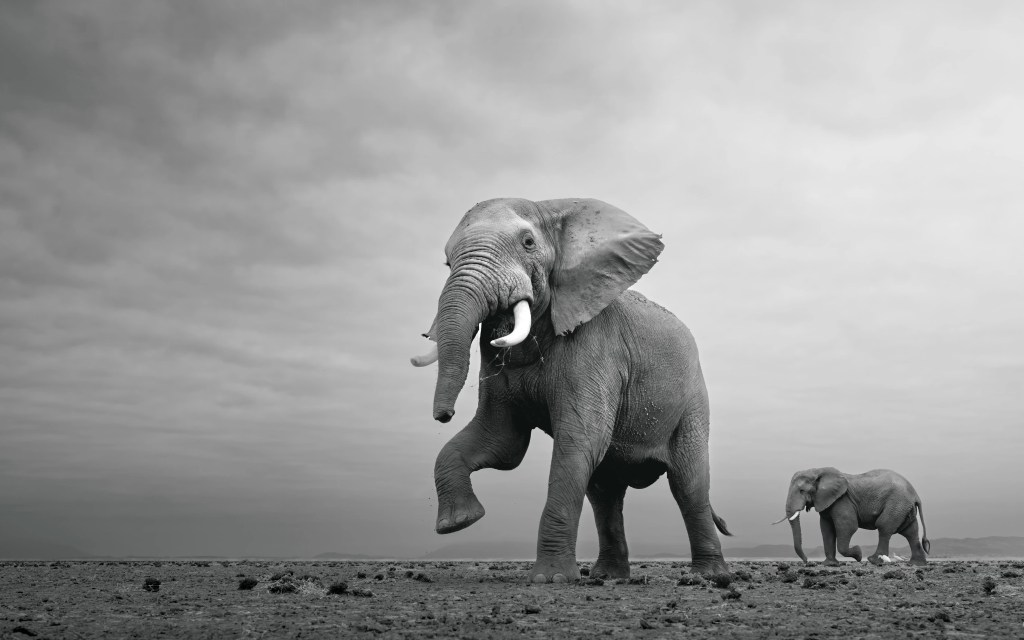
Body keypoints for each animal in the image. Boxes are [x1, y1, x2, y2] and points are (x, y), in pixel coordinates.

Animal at [409, 197, 732, 583]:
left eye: (528, 243)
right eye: (447, 262)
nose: (444, 415)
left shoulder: (595, 346)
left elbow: (578, 439)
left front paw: (549, 580)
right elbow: (503, 441)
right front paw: (459, 522)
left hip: (693, 403)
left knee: (689, 484)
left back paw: (709, 577)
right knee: (604, 492)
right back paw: (608, 577)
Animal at [776, 467, 931, 566]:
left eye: (802, 491)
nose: (806, 561)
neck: (818, 471)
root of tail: (916, 495)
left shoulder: (842, 500)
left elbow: (848, 526)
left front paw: (858, 554)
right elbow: (826, 529)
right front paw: (829, 564)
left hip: (897, 503)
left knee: (884, 527)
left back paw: (873, 560)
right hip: (904, 508)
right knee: (910, 532)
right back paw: (916, 564)